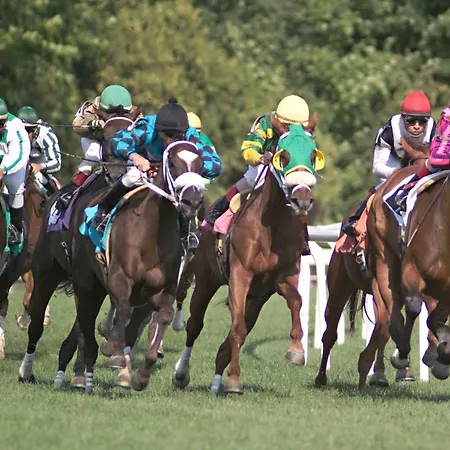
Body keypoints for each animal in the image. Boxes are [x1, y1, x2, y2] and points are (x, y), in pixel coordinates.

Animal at [17, 111, 141, 384]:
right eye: (105, 137)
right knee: (36, 322)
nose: (119, 174)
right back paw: (26, 371)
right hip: (47, 270)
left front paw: (78, 370)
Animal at [172, 115, 319, 394]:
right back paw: (181, 374)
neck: (272, 226)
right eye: (283, 156)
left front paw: (296, 351)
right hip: (207, 280)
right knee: (195, 325)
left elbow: (296, 301)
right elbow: (236, 330)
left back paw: (217, 380)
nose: (302, 200)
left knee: (234, 333)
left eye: (313, 155)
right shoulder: (240, 274)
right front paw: (234, 380)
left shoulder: (283, 276)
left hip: (256, 298)